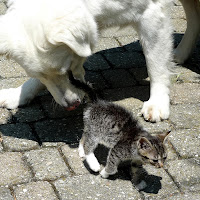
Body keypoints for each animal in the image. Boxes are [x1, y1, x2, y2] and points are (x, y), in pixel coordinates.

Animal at [0, 0, 174, 122]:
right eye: (39, 75)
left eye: (68, 70)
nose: (71, 105)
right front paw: (19, 94)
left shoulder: (152, 13)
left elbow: (155, 65)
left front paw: (157, 102)